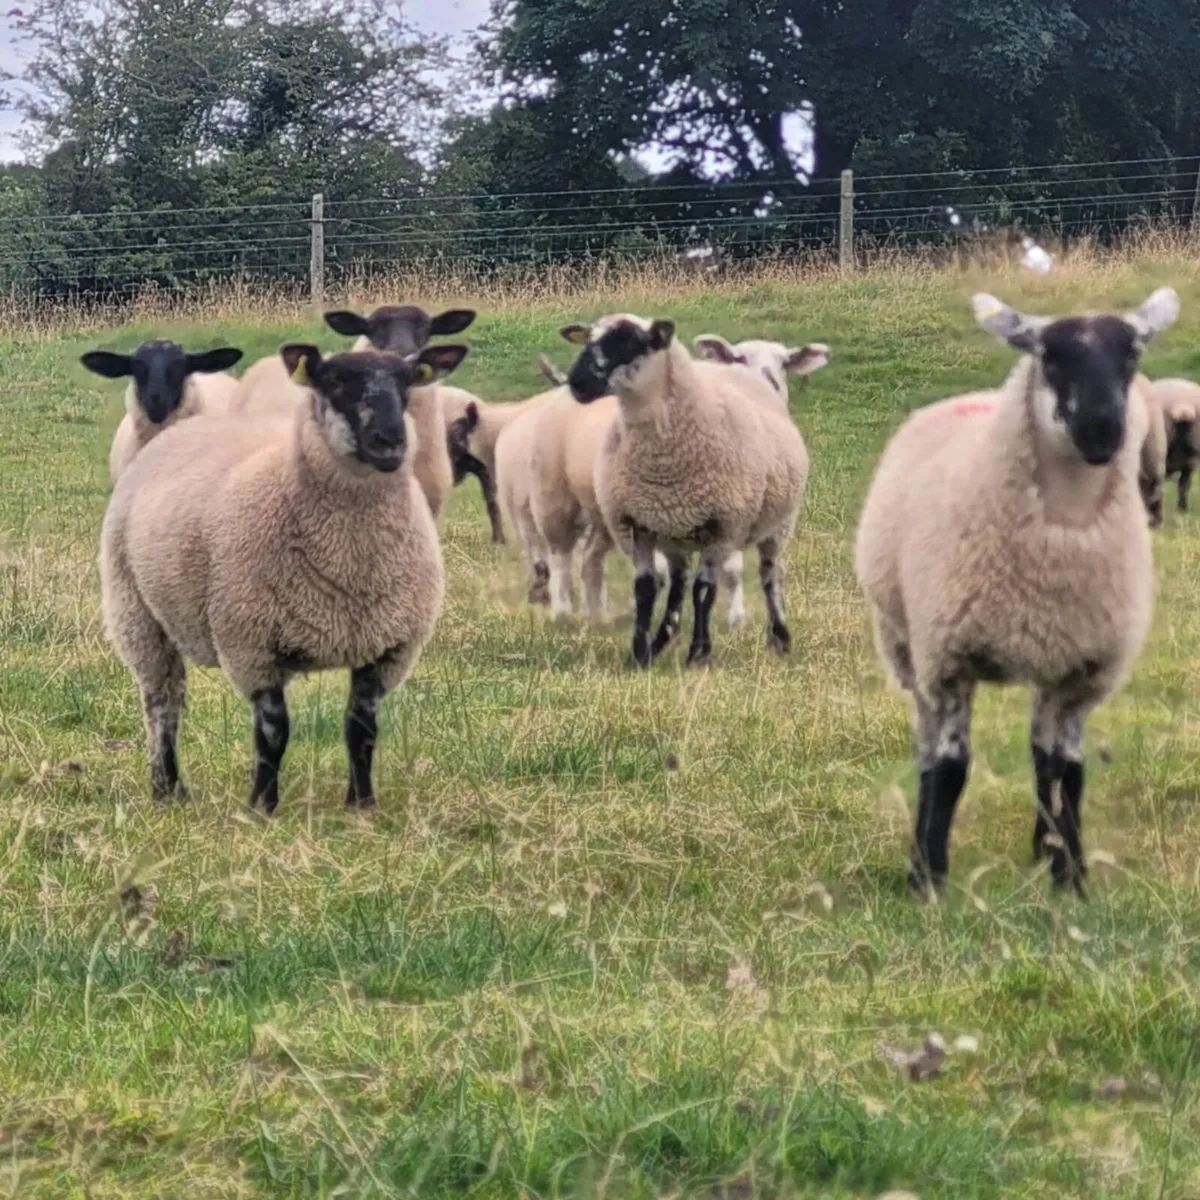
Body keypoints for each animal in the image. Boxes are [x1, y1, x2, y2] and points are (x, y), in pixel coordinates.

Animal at [100, 341, 467, 812]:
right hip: (136, 613)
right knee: (162, 705)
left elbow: (361, 730)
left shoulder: (387, 650)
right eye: (334, 382)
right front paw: (262, 806)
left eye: (406, 385)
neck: (349, 566)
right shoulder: (252, 645)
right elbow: (273, 733)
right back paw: (165, 788)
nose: (390, 442)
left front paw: (361, 805)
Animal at [561, 315, 810, 667]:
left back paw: (780, 638)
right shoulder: (638, 525)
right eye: (588, 339)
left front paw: (699, 655)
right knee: (678, 583)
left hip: (778, 524)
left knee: (770, 575)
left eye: (631, 341)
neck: (660, 460)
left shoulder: (721, 527)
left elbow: (704, 591)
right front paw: (640, 654)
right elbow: (645, 589)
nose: (577, 382)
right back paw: (662, 639)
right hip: (673, 533)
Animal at [855, 287, 1179, 898]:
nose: (1102, 429)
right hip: (909, 648)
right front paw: (930, 879)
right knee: (928, 754)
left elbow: (1069, 773)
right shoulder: (950, 662)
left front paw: (1070, 876)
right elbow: (951, 770)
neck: (1060, 547)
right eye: (1048, 357)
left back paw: (1042, 843)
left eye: (1132, 355)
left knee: (1039, 754)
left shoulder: (1081, 669)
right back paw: (919, 853)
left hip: (1047, 661)